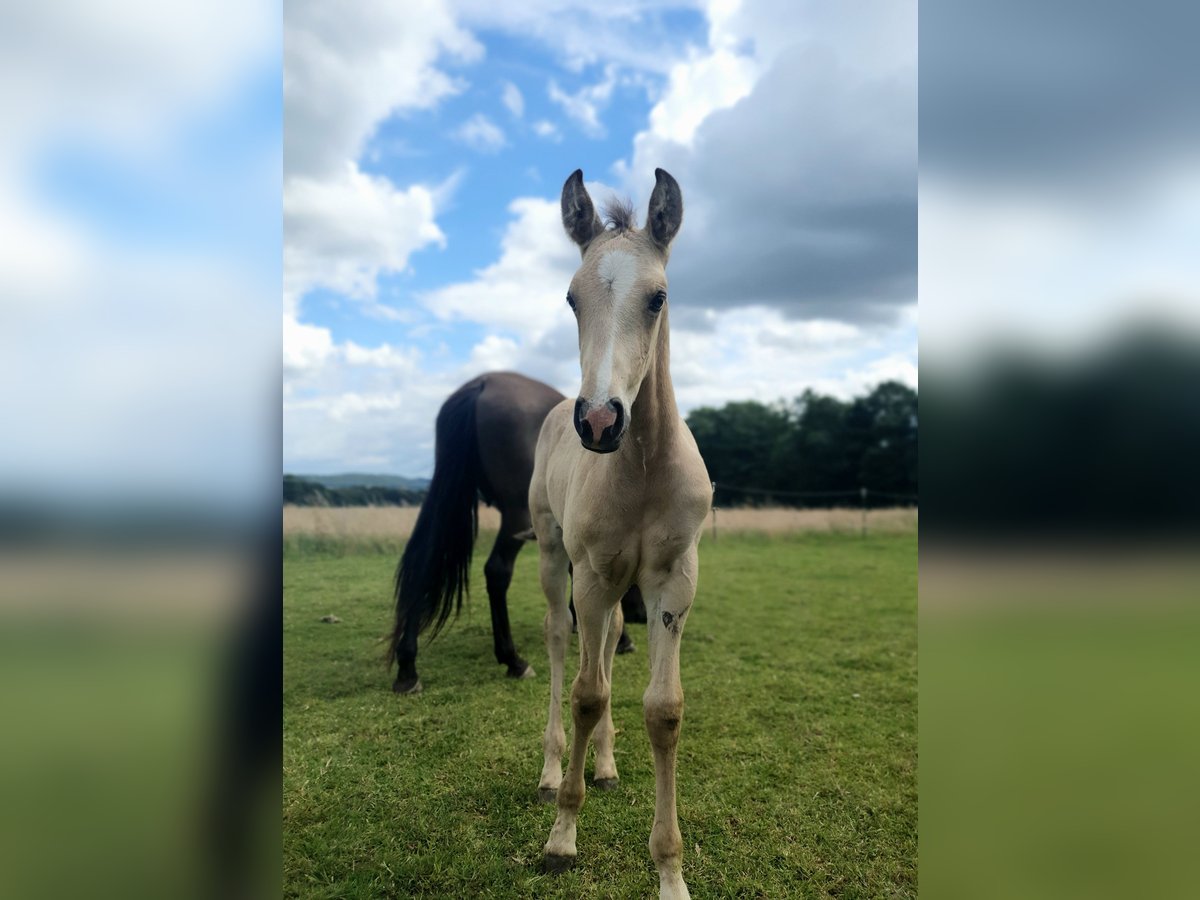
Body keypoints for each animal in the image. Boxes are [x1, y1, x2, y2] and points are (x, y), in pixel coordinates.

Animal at [388, 369, 643, 696]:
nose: (642, 615)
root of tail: (482, 383)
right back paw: (513, 659)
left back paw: (407, 667)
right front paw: (616, 637)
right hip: (516, 517)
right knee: (496, 571)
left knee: (424, 566)